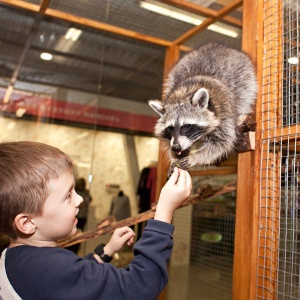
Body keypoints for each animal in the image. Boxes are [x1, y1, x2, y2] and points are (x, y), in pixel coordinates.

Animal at [149, 41, 256, 173]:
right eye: (170, 128)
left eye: (187, 126)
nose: (176, 147)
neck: (184, 95)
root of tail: (215, 45)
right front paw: (174, 157)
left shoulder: (224, 111)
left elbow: (222, 143)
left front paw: (196, 157)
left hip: (246, 77)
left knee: (245, 95)